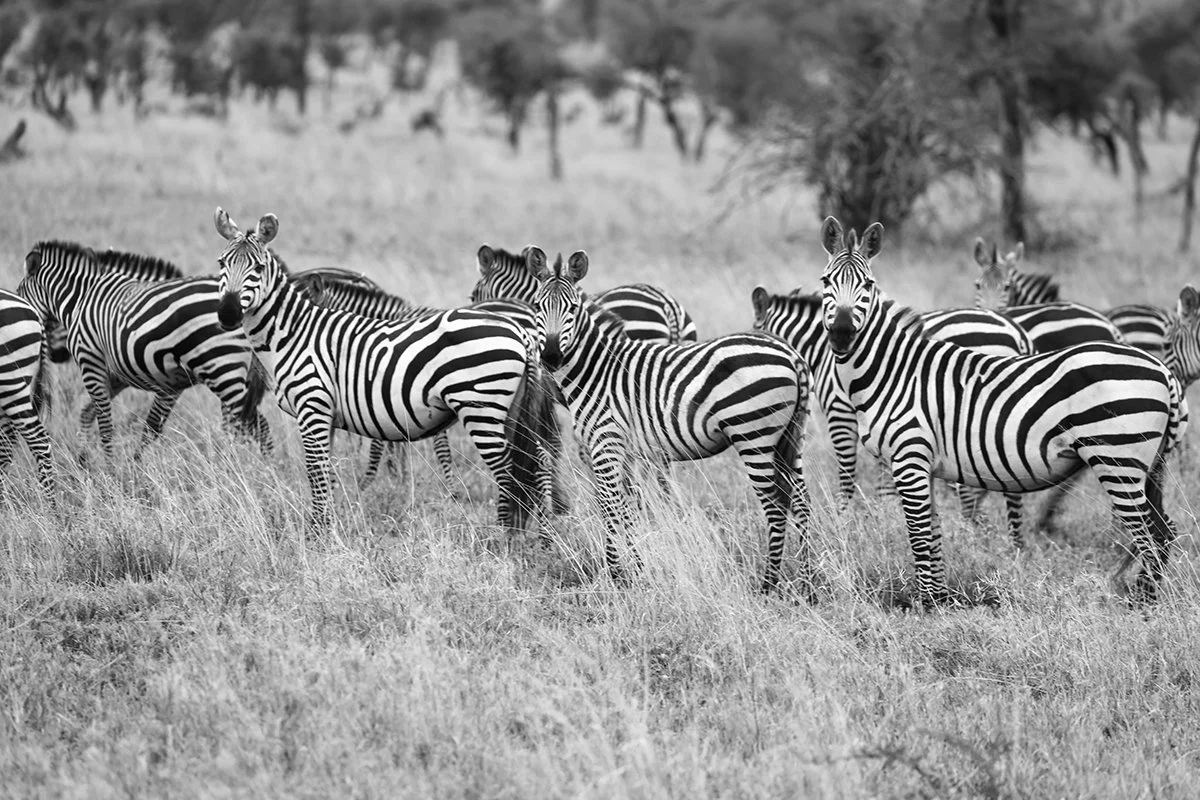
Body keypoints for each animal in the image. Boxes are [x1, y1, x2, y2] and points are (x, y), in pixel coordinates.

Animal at [17, 241, 272, 459]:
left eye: (51, 324)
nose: (54, 355)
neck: (83, 299)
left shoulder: (101, 365)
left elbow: (131, 426)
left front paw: (122, 468)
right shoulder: (122, 374)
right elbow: (91, 413)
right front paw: (86, 460)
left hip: (225, 373)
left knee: (257, 426)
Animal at [212, 208, 552, 534]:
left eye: (257, 268)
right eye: (221, 263)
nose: (227, 313)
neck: (296, 333)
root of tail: (520, 331)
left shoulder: (313, 406)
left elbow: (316, 472)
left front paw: (317, 534)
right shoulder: (329, 414)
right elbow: (328, 472)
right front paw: (329, 526)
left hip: (481, 407)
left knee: (510, 473)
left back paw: (504, 538)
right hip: (513, 409)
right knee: (537, 462)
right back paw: (540, 539)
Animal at [528, 246, 811, 593]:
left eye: (572, 308)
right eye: (538, 306)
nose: (551, 357)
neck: (597, 368)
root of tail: (791, 354)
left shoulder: (605, 441)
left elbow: (609, 504)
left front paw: (615, 573)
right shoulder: (625, 449)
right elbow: (627, 505)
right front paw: (637, 568)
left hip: (754, 436)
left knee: (775, 504)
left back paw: (768, 583)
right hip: (791, 436)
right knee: (801, 500)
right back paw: (809, 580)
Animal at [752, 289, 1033, 544]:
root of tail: (1016, 330)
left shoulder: (841, 412)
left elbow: (847, 473)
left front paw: (845, 520)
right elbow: (885, 476)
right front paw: (885, 517)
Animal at [818, 215, 1185, 605]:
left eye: (868, 285)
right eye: (825, 282)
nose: (841, 333)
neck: (893, 370)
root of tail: (1162, 370)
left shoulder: (909, 458)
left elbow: (918, 535)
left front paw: (926, 603)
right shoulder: (926, 465)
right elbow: (934, 533)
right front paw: (941, 598)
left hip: (1118, 460)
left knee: (1150, 534)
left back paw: (1142, 603)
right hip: (1151, 465)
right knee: (1165, 529)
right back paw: (1143, 596)